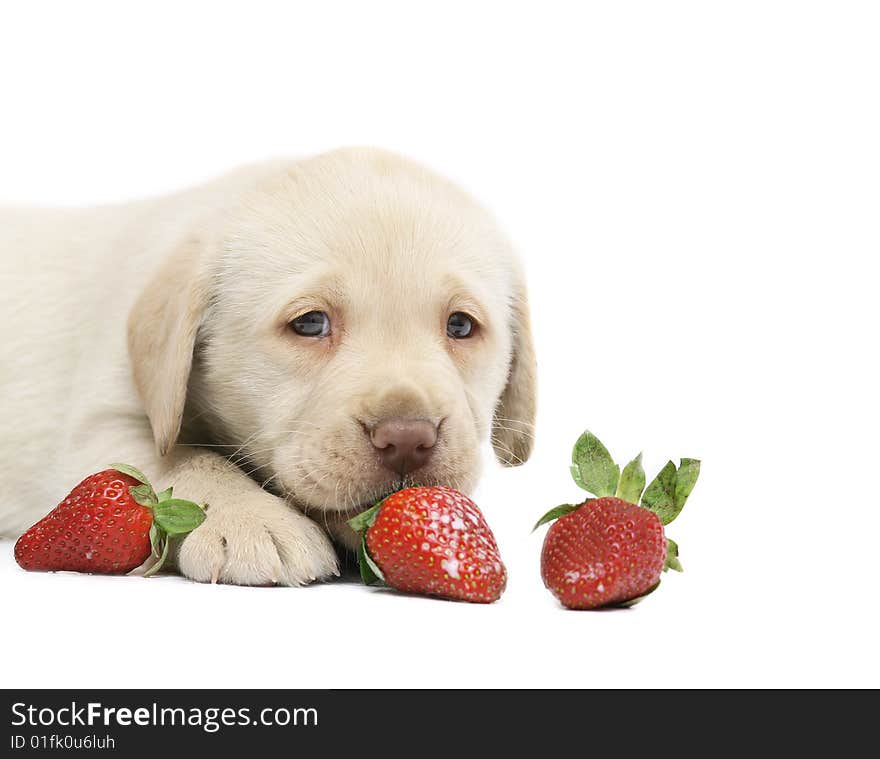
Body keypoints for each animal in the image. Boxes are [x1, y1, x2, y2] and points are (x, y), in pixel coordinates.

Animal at [0, 148, 536, 588]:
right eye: (311, 322)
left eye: (461, 326)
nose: (407, 439)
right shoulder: (99, 427)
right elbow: (180, 461)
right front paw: (253, 520)